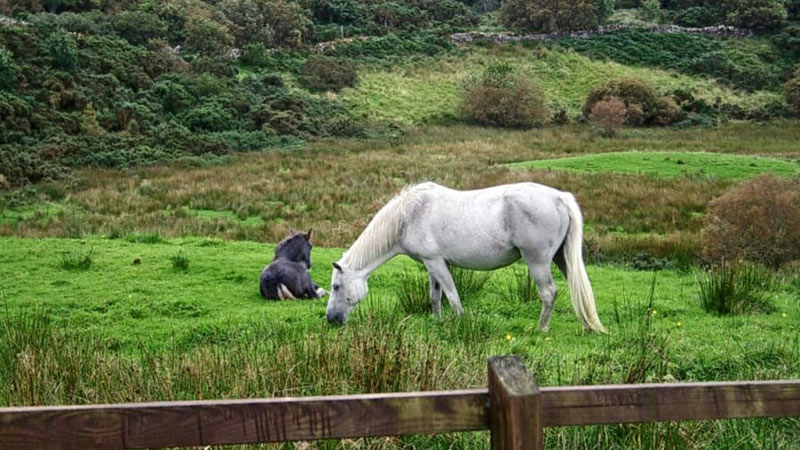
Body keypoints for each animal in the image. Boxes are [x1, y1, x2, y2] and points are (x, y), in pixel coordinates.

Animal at [325, 182, 606, 333]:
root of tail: (560, 197)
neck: (410, 215)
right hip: (561, 259)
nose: (331, 319)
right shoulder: (430, 265)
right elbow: (435, 296)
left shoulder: (436, 262)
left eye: (336, 286)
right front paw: (437, 322)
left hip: (538, 262)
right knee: (577, 289)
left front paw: (461, 325)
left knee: (548, 293)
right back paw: (587, 325)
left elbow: (452, 296)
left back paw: (541, 329)